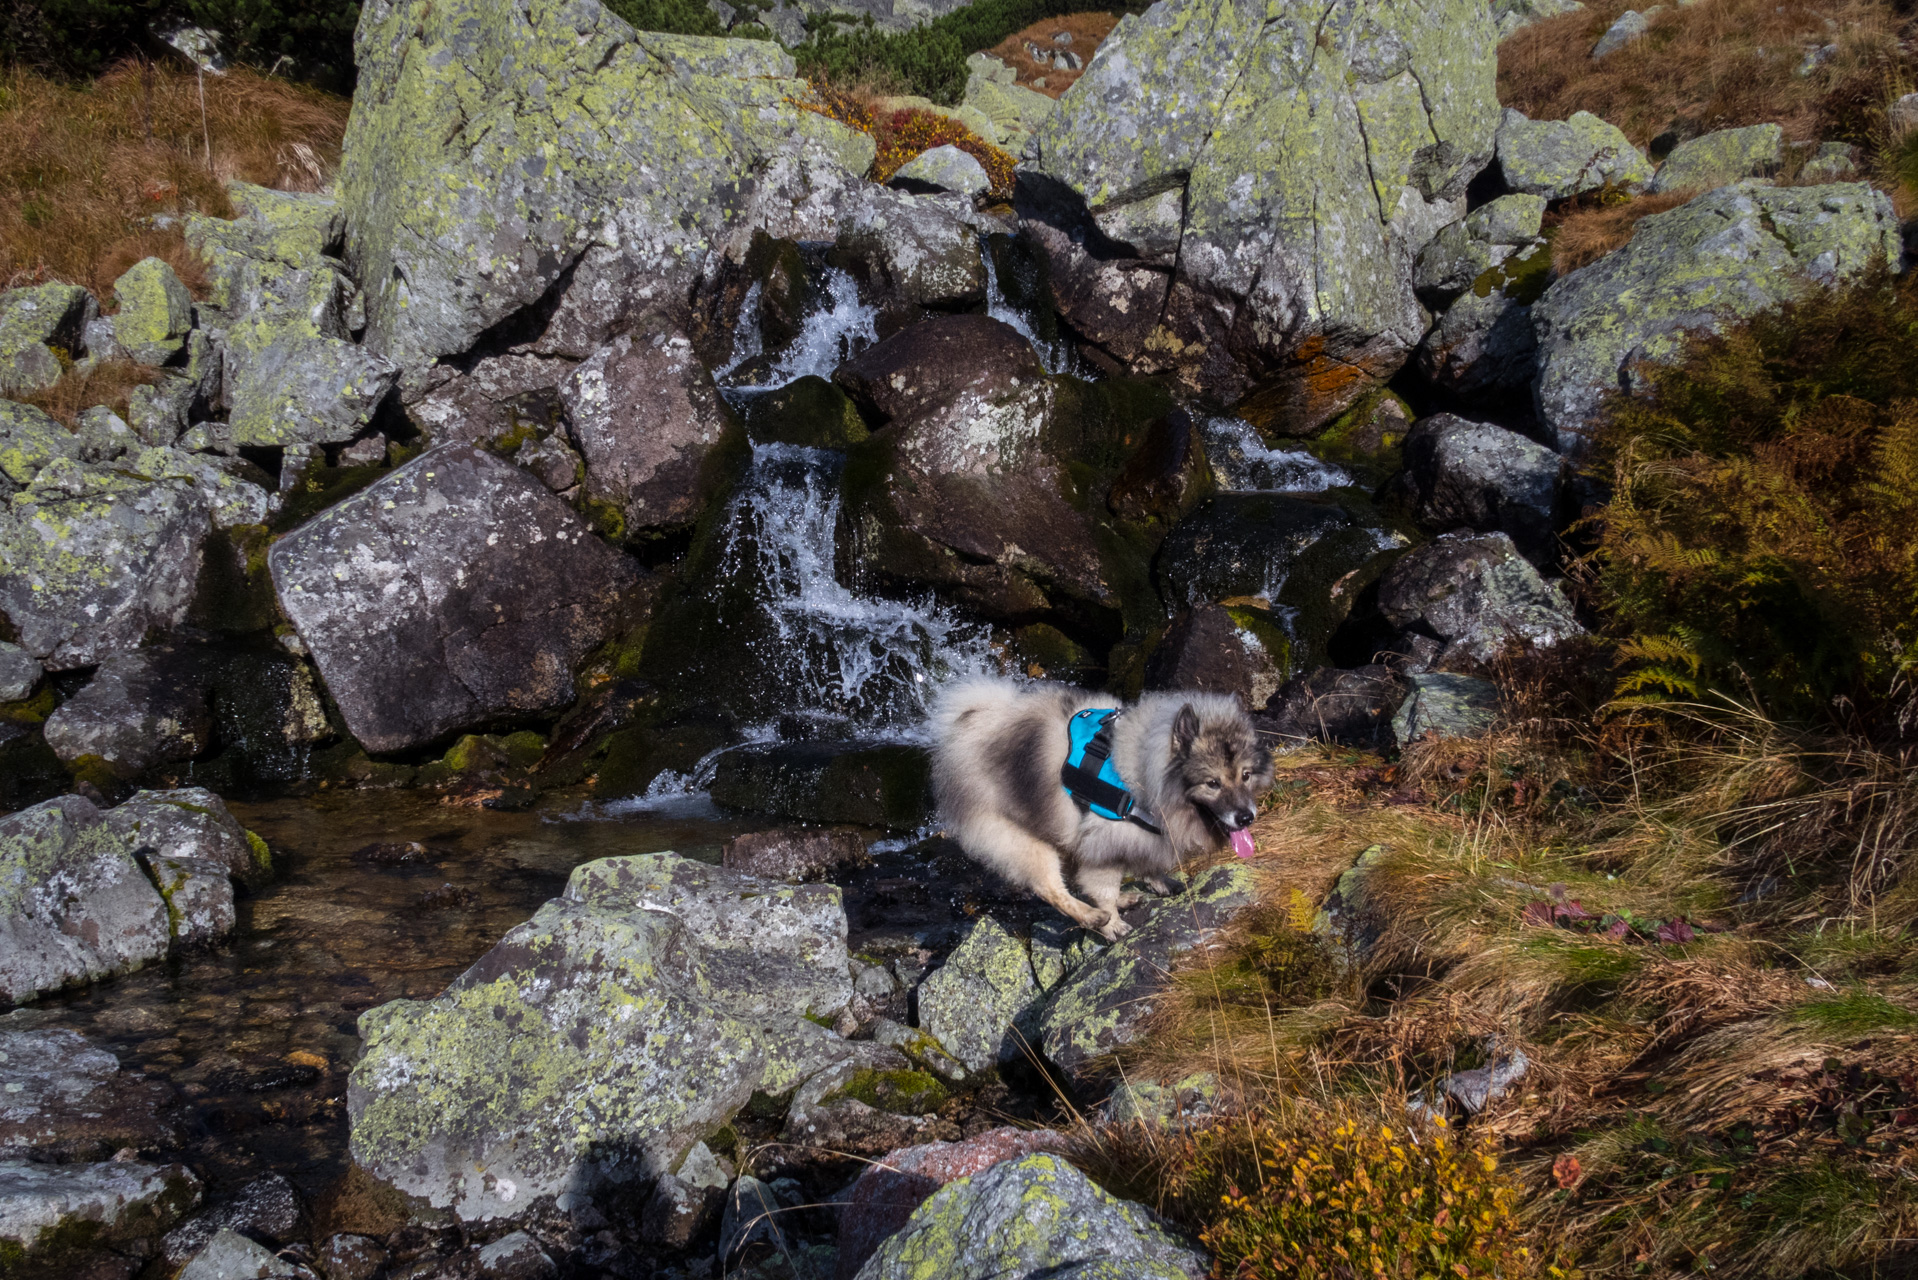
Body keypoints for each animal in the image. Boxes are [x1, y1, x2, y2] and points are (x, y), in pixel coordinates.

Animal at [928, 679, 1273, 940]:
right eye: (1212, 783)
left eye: (1245, 775)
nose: (1246, 816)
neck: (1144, 775)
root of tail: (971, 725)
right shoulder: (1103, 841)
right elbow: (1101, 886)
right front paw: (1112, 924)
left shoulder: (1137, 835)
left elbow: (1143, 864)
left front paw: (1157, 882)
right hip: (1019, 840)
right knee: (1051, 888)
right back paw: (1093, 918)